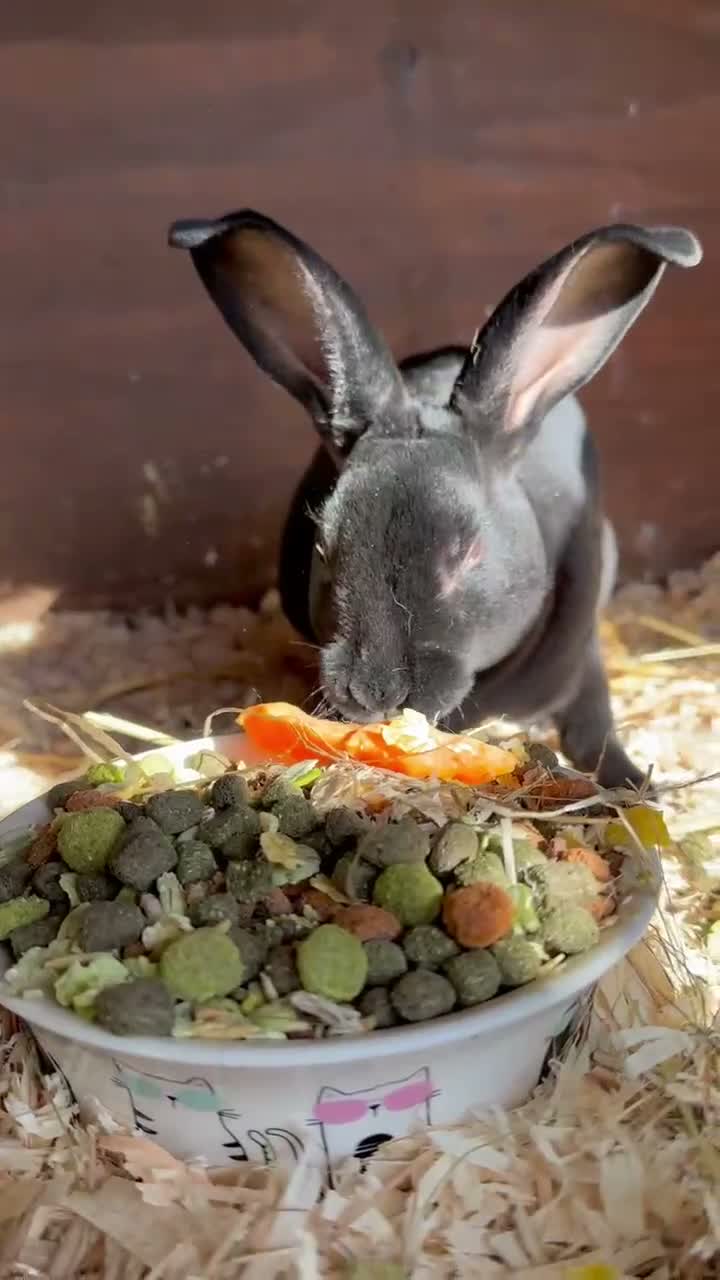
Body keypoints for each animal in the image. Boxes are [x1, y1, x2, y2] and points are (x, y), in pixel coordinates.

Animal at [168, 209, 702, 789]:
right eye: (324, 550)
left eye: (469, 555)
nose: (376, 691)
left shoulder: (581, 659)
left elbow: (592, 729)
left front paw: (638, 785)